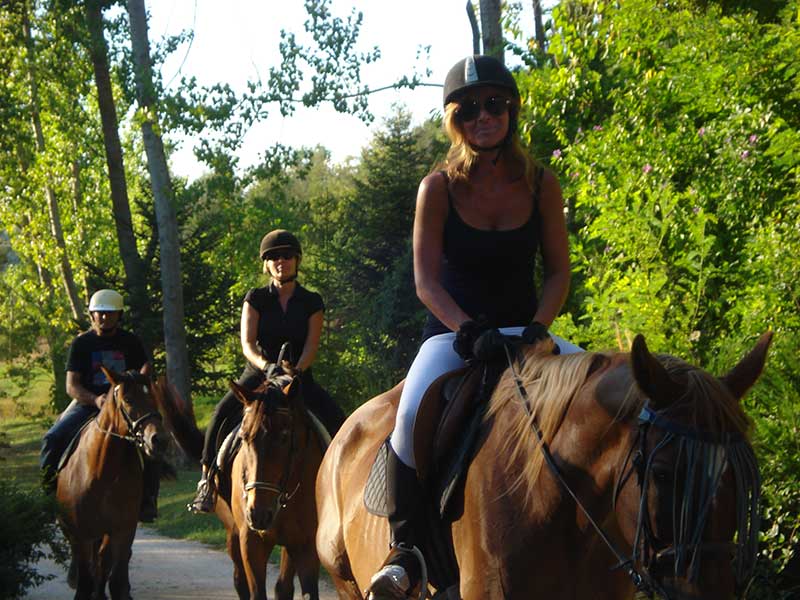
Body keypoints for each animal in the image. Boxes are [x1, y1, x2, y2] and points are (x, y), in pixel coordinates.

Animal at [56, 368, 167, 596]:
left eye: (153, 396)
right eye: (128, 399)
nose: (158, 440)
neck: (102, 472)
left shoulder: (123, 530)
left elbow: (115, 579)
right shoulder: (82, 533)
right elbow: (86, 581)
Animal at [159, 372, 324, 596]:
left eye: (284, 437)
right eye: (244, 437)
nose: (258, 514)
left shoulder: (305, 545)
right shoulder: (250, 541)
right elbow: (255, 590)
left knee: (283, 585)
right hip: (233, 532)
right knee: (240, 579)